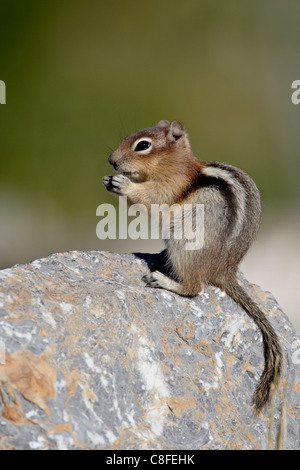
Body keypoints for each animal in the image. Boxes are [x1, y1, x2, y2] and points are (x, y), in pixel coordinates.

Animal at [102, 119, 282, 414]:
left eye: (142, 145)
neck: (174, 163)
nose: (112, 161)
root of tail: (224, 271)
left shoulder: (170, 186)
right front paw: (109, 180)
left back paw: (163, 280)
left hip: (184, 244)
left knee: (194, 287)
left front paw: (123, 184)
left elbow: (153, 198)